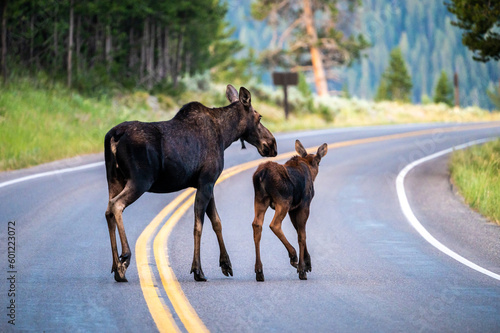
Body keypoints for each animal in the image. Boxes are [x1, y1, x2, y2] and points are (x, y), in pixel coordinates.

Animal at [105, 83, 278, 280]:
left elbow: (217, 222)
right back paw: (125, 257)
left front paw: (225, 264)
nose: (272, 144)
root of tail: (114, 135)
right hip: (140, 180)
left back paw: (116, 267)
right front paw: (198, 270)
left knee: (108, 210)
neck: (225, 136)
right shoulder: (206, 181)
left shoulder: (207, 183)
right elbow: (198, 226)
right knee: (116, 205)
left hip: (114, 179)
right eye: (259, 117)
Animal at [250, 139, 328, 280]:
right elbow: (302, 235)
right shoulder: (304, 204)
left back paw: (259, 270)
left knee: (257, 225)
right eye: (318, 161)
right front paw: (303, 268)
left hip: (260, 199)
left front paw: (307, 263)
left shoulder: (293, 208)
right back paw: (293, 256)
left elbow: (298, 230)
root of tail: (261, 175)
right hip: (283, 201)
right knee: (274, 224)